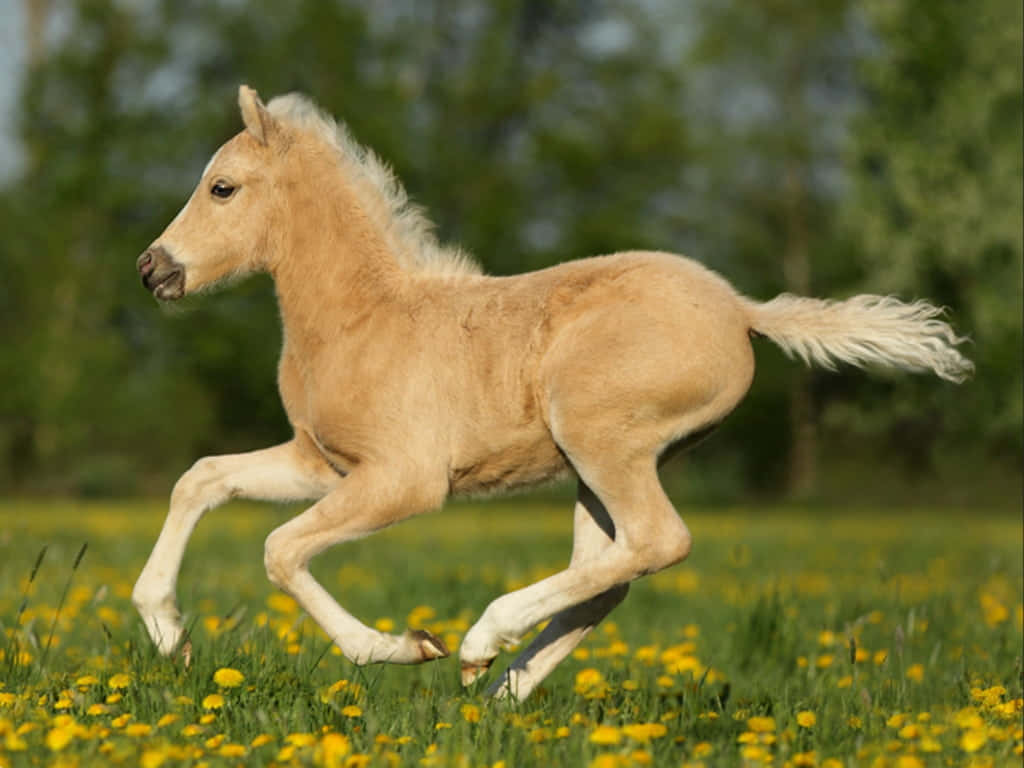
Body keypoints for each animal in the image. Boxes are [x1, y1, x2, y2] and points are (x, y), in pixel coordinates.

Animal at [132, 85, 972, 699]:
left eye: (222, 188)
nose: (153, 270)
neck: (364, 316)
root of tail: (743, 310)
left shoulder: (405, 480)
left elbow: (279, 550)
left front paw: (404, 646)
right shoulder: (323, 464)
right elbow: (201, 479)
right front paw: (168, 632)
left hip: (603, 444)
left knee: (657, 543)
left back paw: (481, 643)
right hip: (598, 470)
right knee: (614, 576)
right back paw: (501, 687)